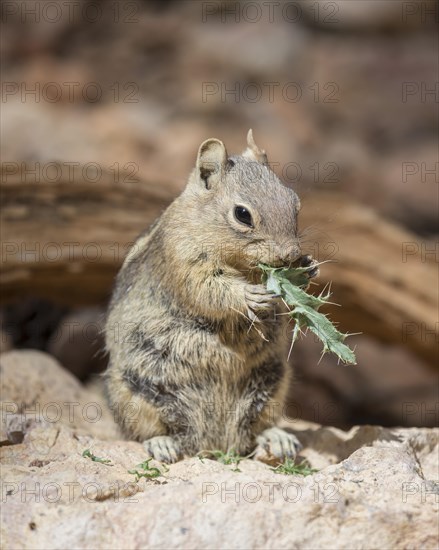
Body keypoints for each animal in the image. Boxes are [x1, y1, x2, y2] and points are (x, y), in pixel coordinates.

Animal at [106, 132, 320, 464]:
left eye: (295, 203)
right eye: (242, 214)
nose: (290, 254)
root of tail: (215, 445)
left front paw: (308, 267)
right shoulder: (183, 257)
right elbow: (207, 289)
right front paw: (249, 296)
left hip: (274, 381)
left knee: (256, 429)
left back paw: (277, 438)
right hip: (133, 389)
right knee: (147, 431)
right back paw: (163, 445)